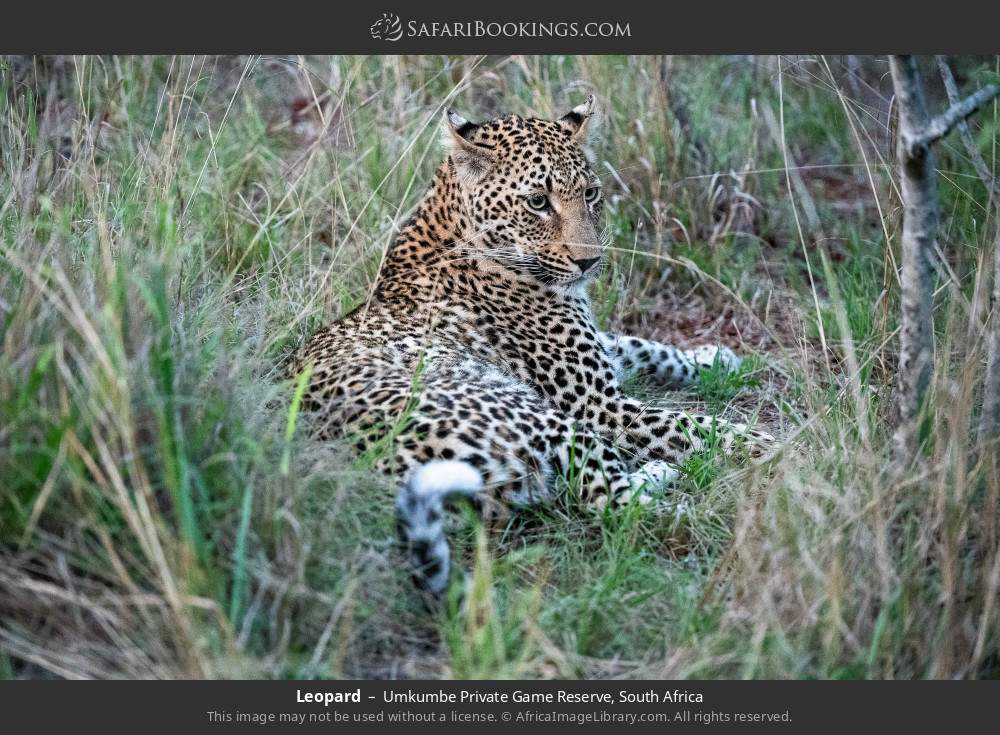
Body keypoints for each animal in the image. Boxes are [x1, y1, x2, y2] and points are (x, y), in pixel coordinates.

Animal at [296, 95, 772, 597]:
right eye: (538, 202)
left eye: (591, 194)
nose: (590, 262)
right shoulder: (599, 406)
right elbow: (694, 425)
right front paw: (772, 446)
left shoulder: (597, 357)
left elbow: (640, 345)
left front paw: (714, 359)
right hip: (547, 421)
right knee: (614, 502)